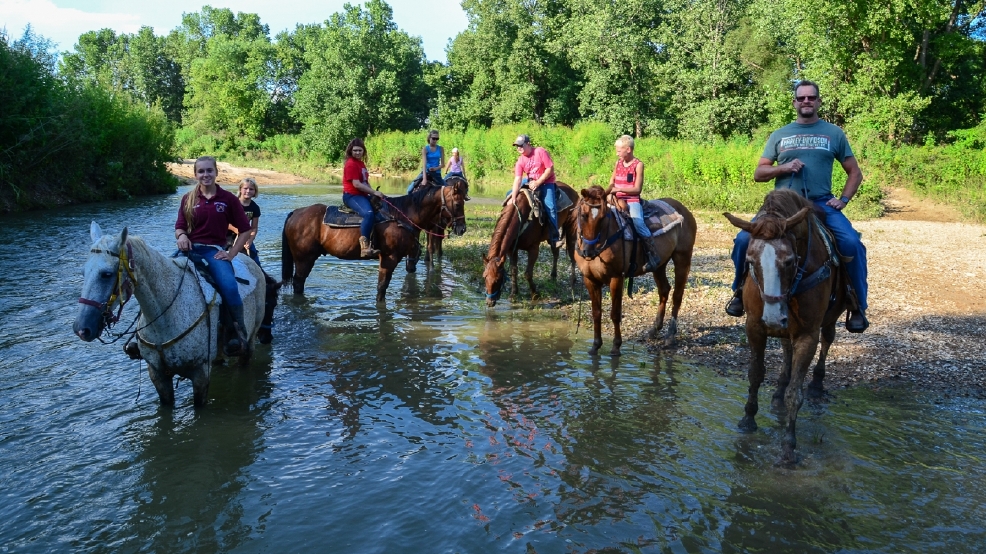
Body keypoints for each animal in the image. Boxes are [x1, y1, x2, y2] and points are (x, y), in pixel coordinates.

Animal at [74, 220, 266, 406]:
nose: (81, 329)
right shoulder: (157, 374)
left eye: (106, 274)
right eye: (83, 272)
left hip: (250, 340)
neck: (164, 318)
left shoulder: (200, 373)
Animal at [278, 180, 468, 302]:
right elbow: (381, 288)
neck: (401, 216)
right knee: (298, 283)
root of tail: (295, 213)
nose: (462, 228)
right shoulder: (389, 258)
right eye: (458, 204)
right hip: (304, 259)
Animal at [572, 184, 696, 354]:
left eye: (604, 217)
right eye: (583, 215)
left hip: (682, 258)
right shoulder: (589, 279)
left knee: (677, 295)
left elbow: (615, 314)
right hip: (659, 265)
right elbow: (596, 313)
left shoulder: (617, 278)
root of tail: (684, 210)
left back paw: (670, 335)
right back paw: (654, 329)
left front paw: (616, 346)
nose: (588, 252)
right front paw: (595, 345)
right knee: (664, 290)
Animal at [720, 188, 848, 464]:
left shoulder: (807, 335)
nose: (772, 317)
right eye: (750, 260)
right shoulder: (755, 327)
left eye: (789, 261)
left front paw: (789, 446)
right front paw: (748, 420)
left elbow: (795, 393)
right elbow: (755, 374)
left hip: (830, 319)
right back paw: (778, 389)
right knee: (786, 349)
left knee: (828, 339)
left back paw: (817, 384)